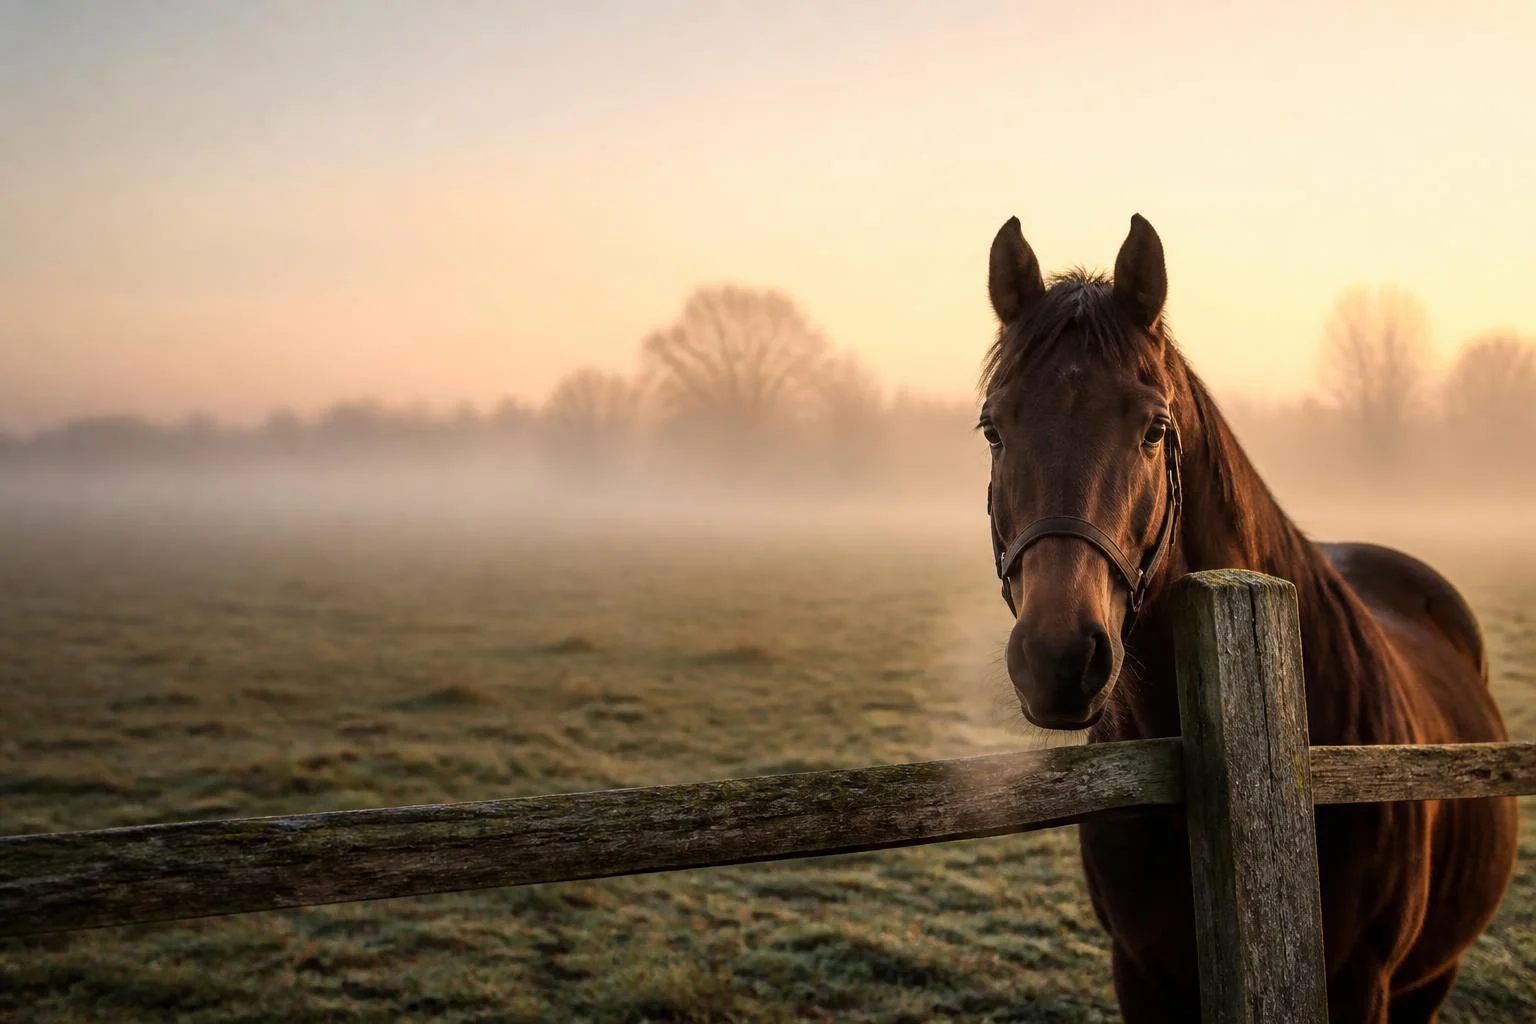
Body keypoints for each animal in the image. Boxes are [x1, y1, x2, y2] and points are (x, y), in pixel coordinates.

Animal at [977, 213, 1518, 1022]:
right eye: (993, 429)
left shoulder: (1362, 984)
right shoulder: (1140, 975)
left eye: (1153, 429)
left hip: (1430, 978)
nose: (1058, 657)